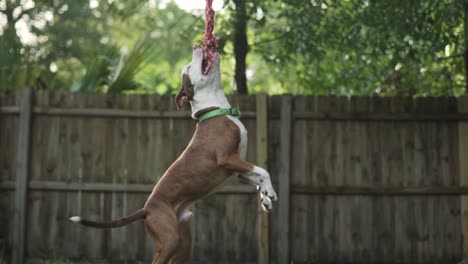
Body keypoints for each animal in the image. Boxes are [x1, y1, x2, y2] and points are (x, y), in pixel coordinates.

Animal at [67, 46, 276, 264]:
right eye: (188, 67)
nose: (196, 46)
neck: (216, 111)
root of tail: (146, 210)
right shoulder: (227, 159)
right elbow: (264, 170)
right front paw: (270, 194)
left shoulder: (237, 169)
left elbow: (259, 177)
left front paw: (266, 198)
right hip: (169, 239)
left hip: (183, 242)